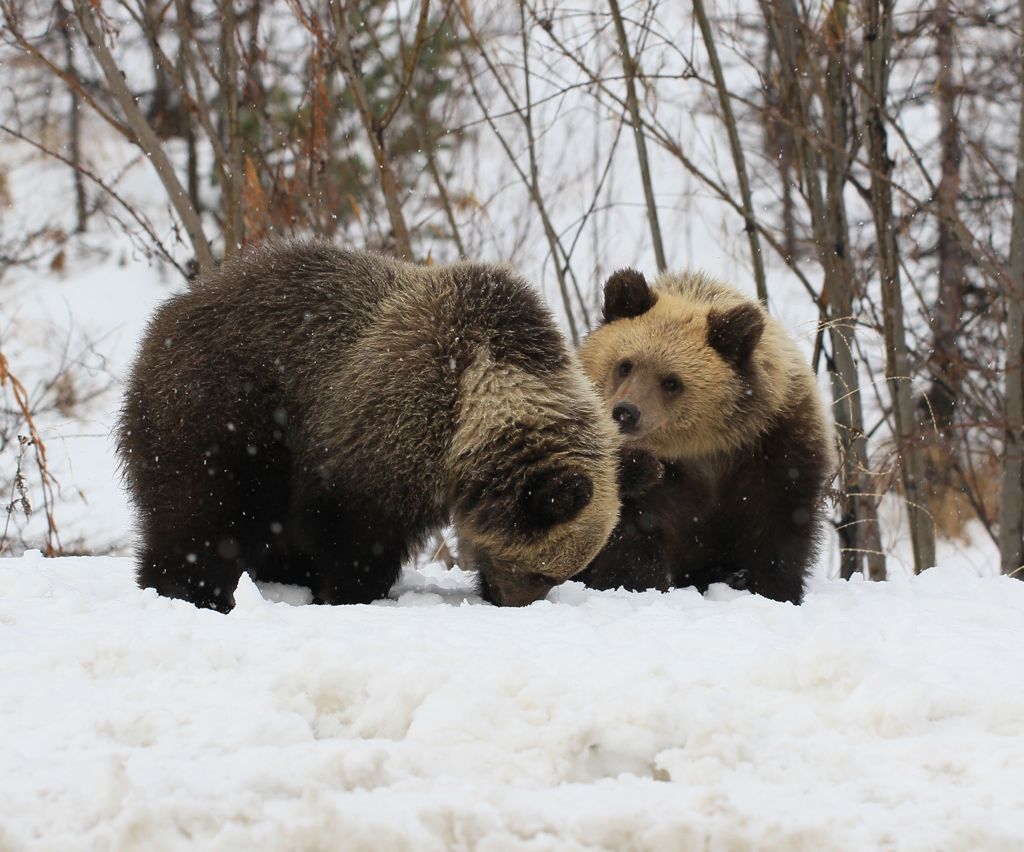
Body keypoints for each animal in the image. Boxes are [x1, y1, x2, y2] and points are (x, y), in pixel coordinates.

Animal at [116, 239, 618, 614]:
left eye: (559, 574)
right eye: (539, 571)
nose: (512, 601)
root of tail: (169, 313)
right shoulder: (389, 421)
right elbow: (350, 527)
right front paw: (350, 590)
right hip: (224, 407)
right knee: (204, 509)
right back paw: (190, 589)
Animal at [573, 270, 835, 602]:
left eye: (672, 382)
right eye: (625, 364)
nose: (625, 411)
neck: (704, 447)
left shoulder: (775, 449)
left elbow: (781, 525)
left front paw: (775, 590)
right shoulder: (651, 484)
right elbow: (635, 536)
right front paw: (637, 584)